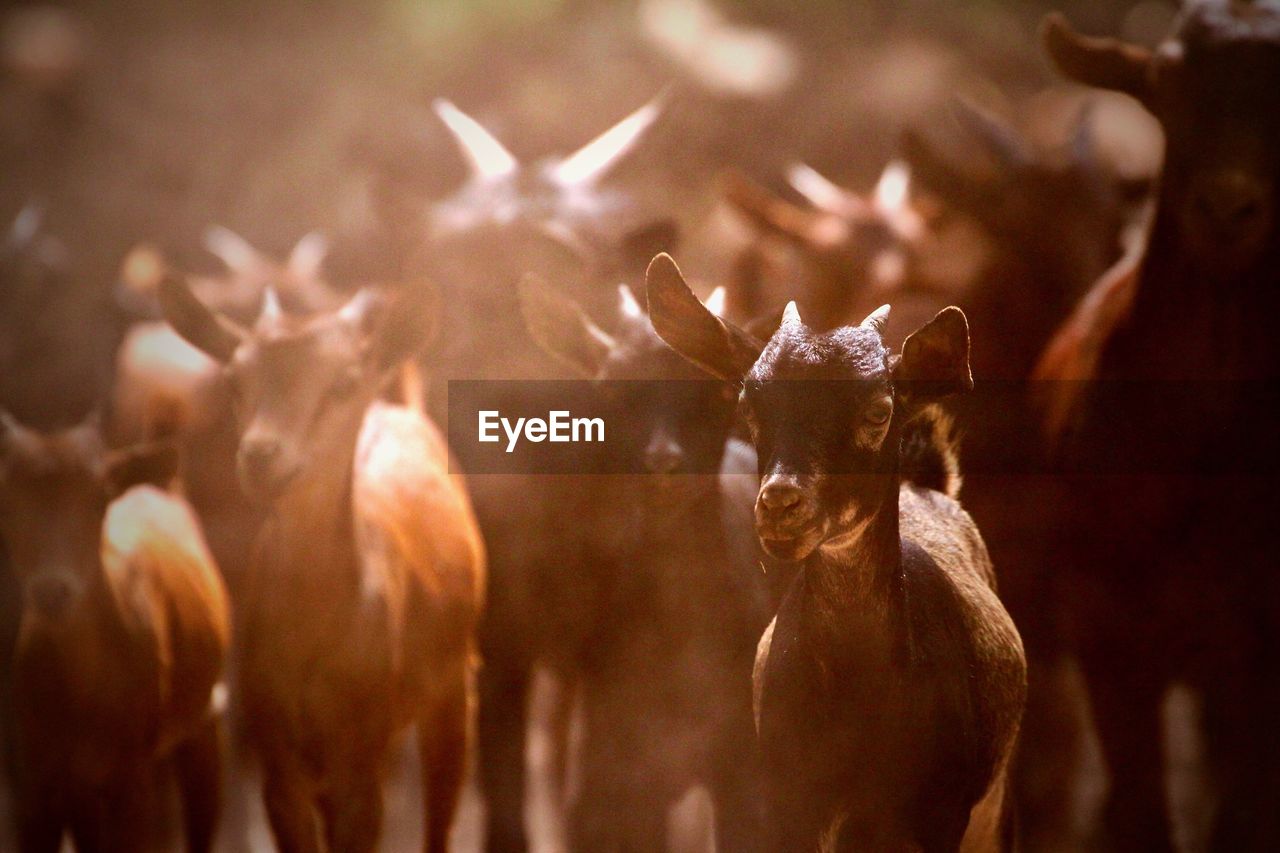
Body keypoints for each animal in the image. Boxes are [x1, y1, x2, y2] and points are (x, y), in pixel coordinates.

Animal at [1, 409, 230, 845]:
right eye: (7, 501)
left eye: (97, 499)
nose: (53, 590)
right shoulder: (37, 781)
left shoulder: (131, 776)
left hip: (205, 714)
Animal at [156, 275, 483, 845]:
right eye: (234, 379)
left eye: (343, 383)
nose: (261, 454)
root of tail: (398, 406)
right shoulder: (279, 763)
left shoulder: (362, 762)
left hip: (453, 687)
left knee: (440, 818)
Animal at [1034, 3, 1280, 845]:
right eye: (1168, 82)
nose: (1229, 210)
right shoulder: (1109, 631)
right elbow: (1140, 811)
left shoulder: (1257, 655)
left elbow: (1243, 818)